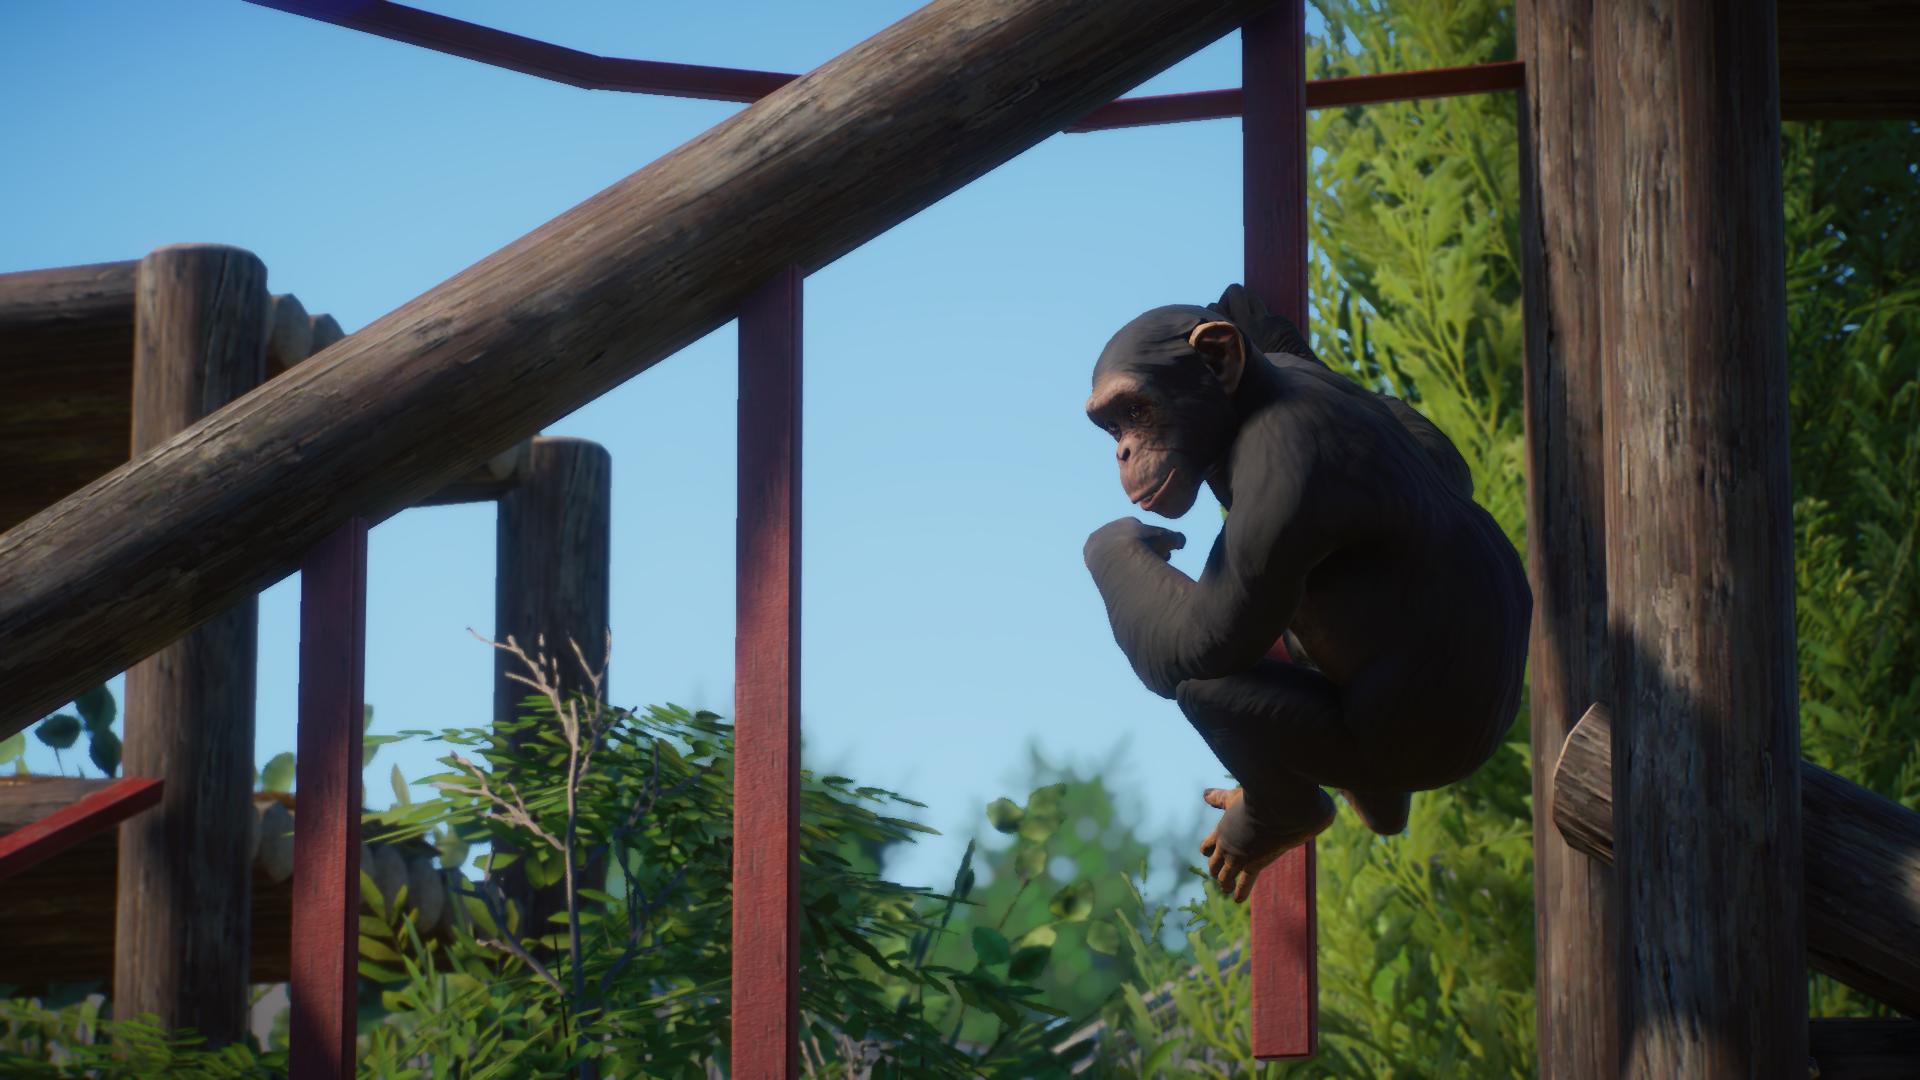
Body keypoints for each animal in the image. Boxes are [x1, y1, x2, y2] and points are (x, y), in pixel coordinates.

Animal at [1082, 286, 1530, 902]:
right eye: (1110, 425)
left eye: (1135, 411)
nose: (1122, 453)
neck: (1249, 404)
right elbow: (1439, 449)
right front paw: (1261, 325)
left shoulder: (1280, 471)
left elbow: (1205, 639)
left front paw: (1116, 540)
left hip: (1374, 752)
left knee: (1213, 694)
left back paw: (1278, 821)